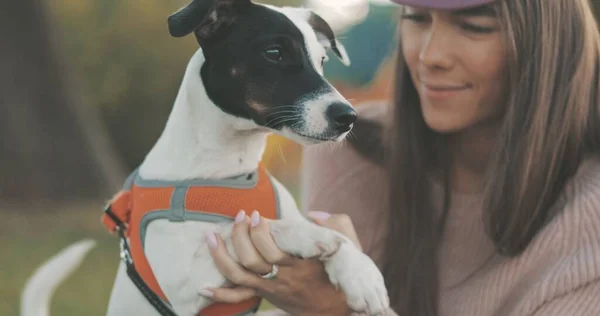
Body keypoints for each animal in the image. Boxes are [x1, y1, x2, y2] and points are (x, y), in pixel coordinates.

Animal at [19, 0, 390, 316]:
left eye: (323, 60)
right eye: (274, 52)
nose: (348, 117)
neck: (228, 169)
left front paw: (362, 274)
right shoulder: (181, 281)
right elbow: (243, 228)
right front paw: (312, 237)